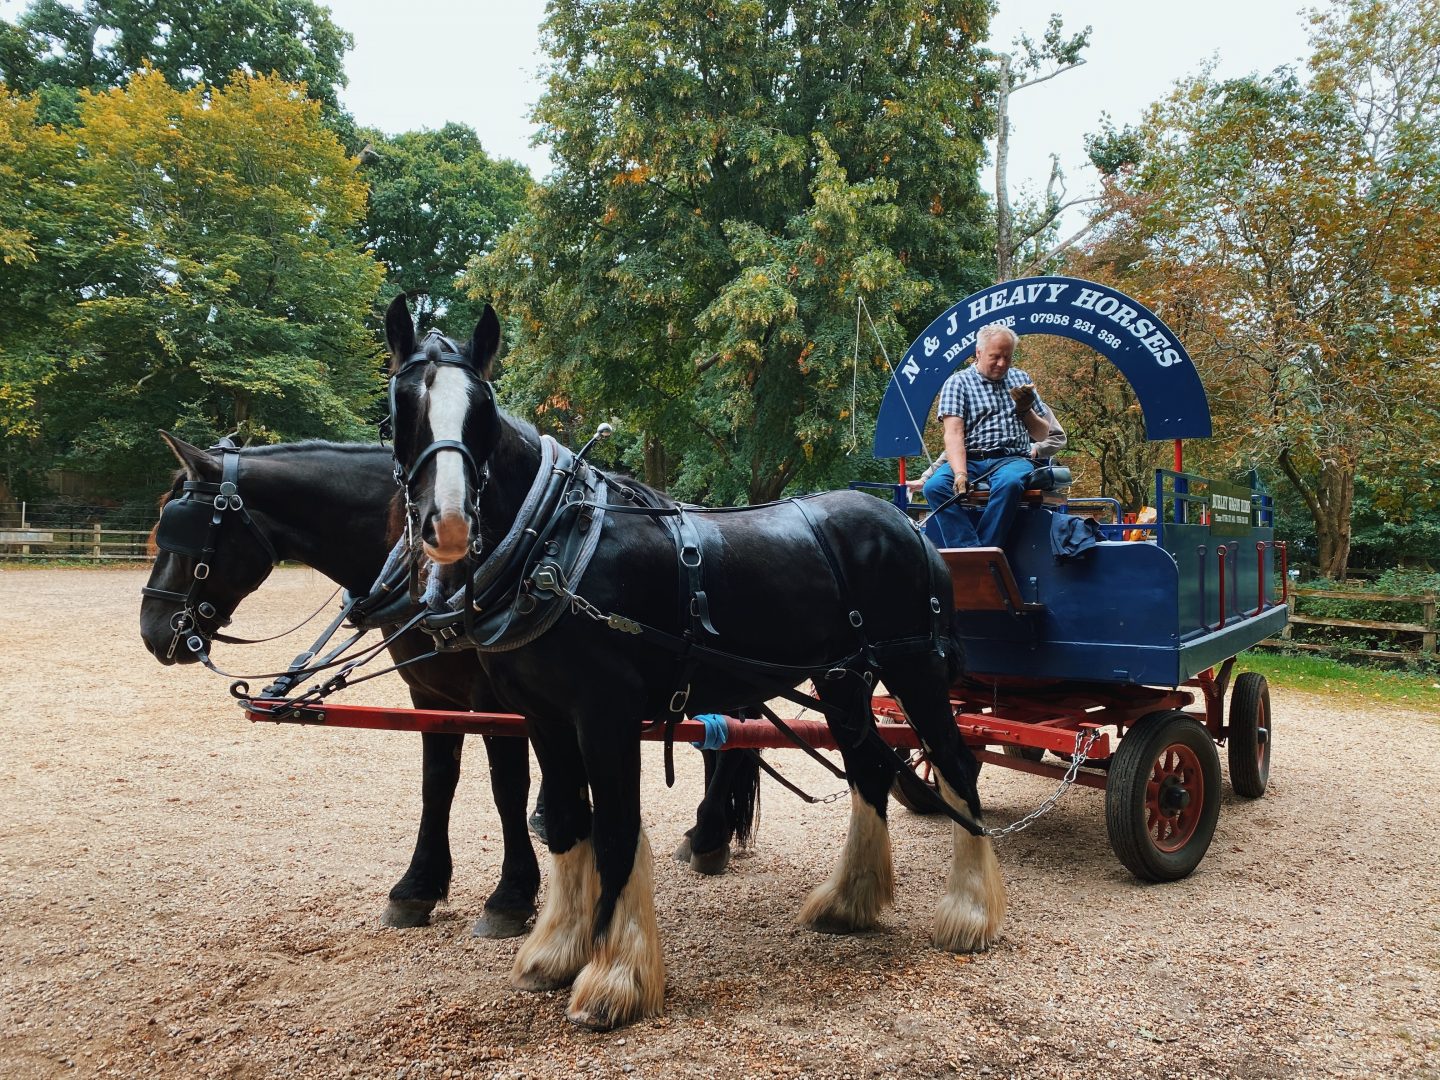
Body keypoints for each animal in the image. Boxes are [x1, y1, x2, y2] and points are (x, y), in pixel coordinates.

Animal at [138, 434, 760, 944]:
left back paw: (707, 834)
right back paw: (707, 834)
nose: (154, 632)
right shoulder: (431, 695)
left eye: (183, 536)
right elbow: (437, 783)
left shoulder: (496, 702)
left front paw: (510, 896)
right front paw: (417, 886)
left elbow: (506, 787)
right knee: (725, 738)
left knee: (736, 741)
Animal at [383, 296, 1008, 1031]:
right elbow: (566, 822)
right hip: (845, 680)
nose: (448, 524)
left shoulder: (606, 714)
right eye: (402, 406)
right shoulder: (545, 717)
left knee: (955, 764)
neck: (558, 543)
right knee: (870, 769)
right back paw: (848, 903)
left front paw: (613, 979)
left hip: (915, 671)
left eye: (479, 408)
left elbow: (616, 830)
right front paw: (557, 952)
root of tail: (910, 526)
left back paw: (969, 913)